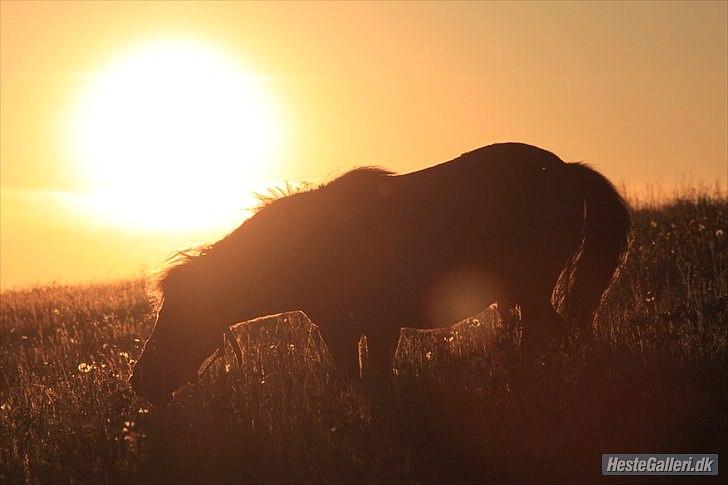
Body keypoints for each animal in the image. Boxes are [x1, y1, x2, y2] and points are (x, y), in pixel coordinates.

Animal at [130, 142, 630, 404]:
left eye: (178, 316)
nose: (141, 383)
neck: (310, 247)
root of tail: (566, 170)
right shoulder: (348, 331)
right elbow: (360, 383)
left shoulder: (377, 326)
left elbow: (374, 384)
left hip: (532, 288)